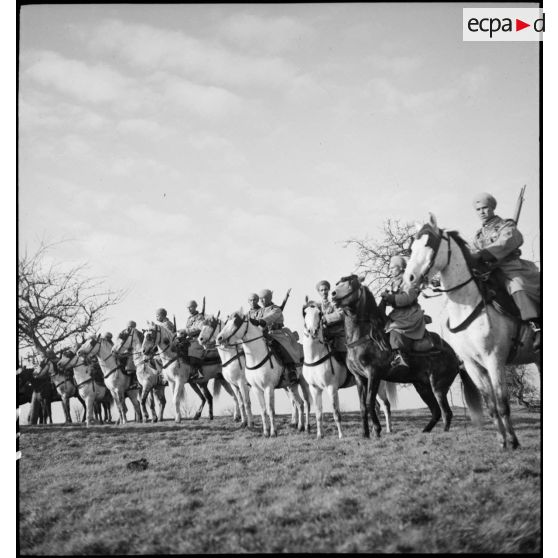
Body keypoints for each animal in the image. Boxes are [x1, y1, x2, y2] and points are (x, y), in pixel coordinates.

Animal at [217, 312, 310, 440]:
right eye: (226, 322)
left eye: (236, 322)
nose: (219, 338)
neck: (257, 356)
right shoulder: (255, 388)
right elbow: (262, 410)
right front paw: (265, 432)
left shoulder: (267, 387)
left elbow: (270, 410)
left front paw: (273, 432)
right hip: (291, 385)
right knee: (299, 403)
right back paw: (299, 426)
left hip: (304, 383)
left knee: (307, 402)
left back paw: (306, 426)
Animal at [302, 304, 398, 440]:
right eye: (305, 313)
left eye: (319, 314)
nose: (313, 331)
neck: (315, 356)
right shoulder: (314, 388)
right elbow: (318, 413)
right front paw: (320, 435)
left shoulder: (331, 388)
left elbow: (336, 413)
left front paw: (341, 435)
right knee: (377, 406)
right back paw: (374, 430)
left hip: (379, 385)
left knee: (386, 405)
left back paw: (389, 429)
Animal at [332, 278, 486, 440]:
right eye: (339, 282)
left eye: (351, 283)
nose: (333, 294)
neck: (365, 337)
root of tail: (456, 358)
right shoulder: (360, 378)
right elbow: (362, 406)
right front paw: (365, 434)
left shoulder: (374, 375)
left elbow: (369, 402)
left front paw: (377, 430)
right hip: (422, 387)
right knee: (436, 412)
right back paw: (425, 431)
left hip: (438, 387)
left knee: (446, 413)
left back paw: (443, 433)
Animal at [404, 214, 540, 450]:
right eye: (412, 247)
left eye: (429, 244)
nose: (409, 278)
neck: (468, 305)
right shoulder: (472, 364)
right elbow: (491, 405)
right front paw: (502, 441)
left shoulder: (494, 360)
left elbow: (502, 404)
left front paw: (513, 442)